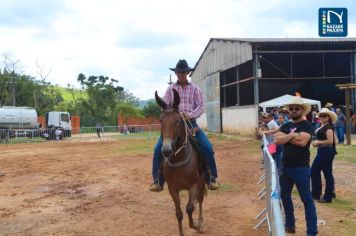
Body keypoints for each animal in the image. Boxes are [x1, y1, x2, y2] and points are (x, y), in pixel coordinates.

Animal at [155, 89, 207, 235]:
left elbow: (189, 208)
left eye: (177, 120)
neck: (179, 161)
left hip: (202, 182)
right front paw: (182, 232)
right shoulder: (172, 189)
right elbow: (179, 213)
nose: (166, 150)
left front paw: (195, 225)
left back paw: (200, 222)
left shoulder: (194, 185)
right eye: (160, 120)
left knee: (200, 200)